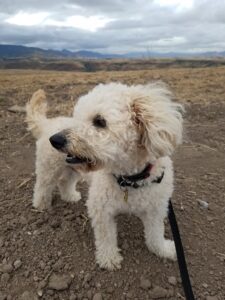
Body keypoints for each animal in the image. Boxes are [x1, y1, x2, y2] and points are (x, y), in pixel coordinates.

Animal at [33, 82, 183, 270]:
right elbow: (106, 238)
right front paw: (109, 258)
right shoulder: (101, 210)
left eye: (99, 121)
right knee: (42, 186)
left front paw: (164, 250)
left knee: (65, 181)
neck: (129, 179)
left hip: (73, 169)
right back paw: (41, 205)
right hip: (49, 167)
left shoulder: (156, 209)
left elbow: (155, 235)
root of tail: (48, 123)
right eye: (76, 116)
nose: (56, 140)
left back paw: (70, 196)